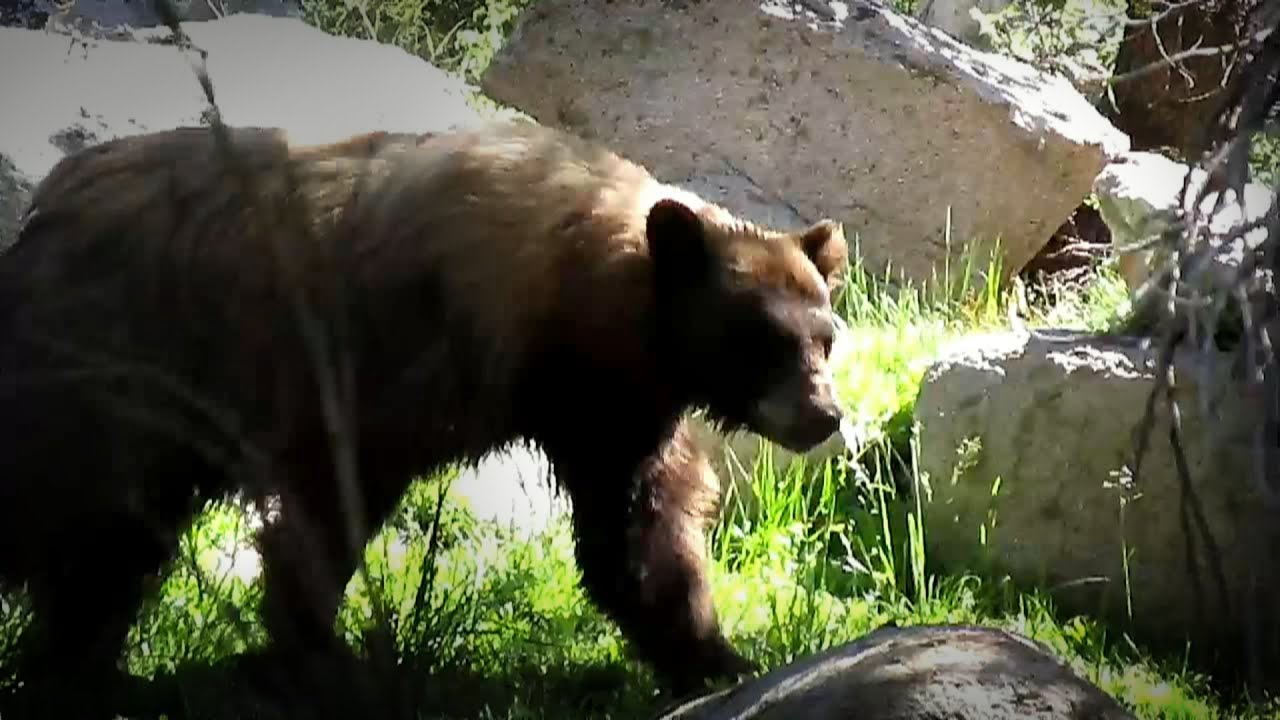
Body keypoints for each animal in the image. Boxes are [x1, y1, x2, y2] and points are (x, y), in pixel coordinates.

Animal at [0, 119, 848, 718]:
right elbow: (330, 502)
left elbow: (638, 530)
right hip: (121, 364)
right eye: (760, 339)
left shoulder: (609, 407)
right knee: (81, 516)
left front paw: (714, 656)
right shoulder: (394, 357)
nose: (824, 415)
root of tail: (44, 214)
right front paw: (309, 656)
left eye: (825, 335)